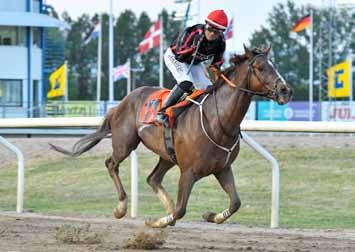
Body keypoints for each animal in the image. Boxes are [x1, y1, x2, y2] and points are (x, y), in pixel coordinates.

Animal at [52, 45, 292, 228]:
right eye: (260, 68)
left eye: (275, 66)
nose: (285, 91)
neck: (219, 120)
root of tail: (123, 101)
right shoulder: (188, 171)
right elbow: (181, 209)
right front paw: (156, 222)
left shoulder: (222, 168)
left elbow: (235, 203)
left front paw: (209, 215)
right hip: (125, 143)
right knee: (111, 164)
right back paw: (121, 207)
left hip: (167, 155)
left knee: (153, 178)